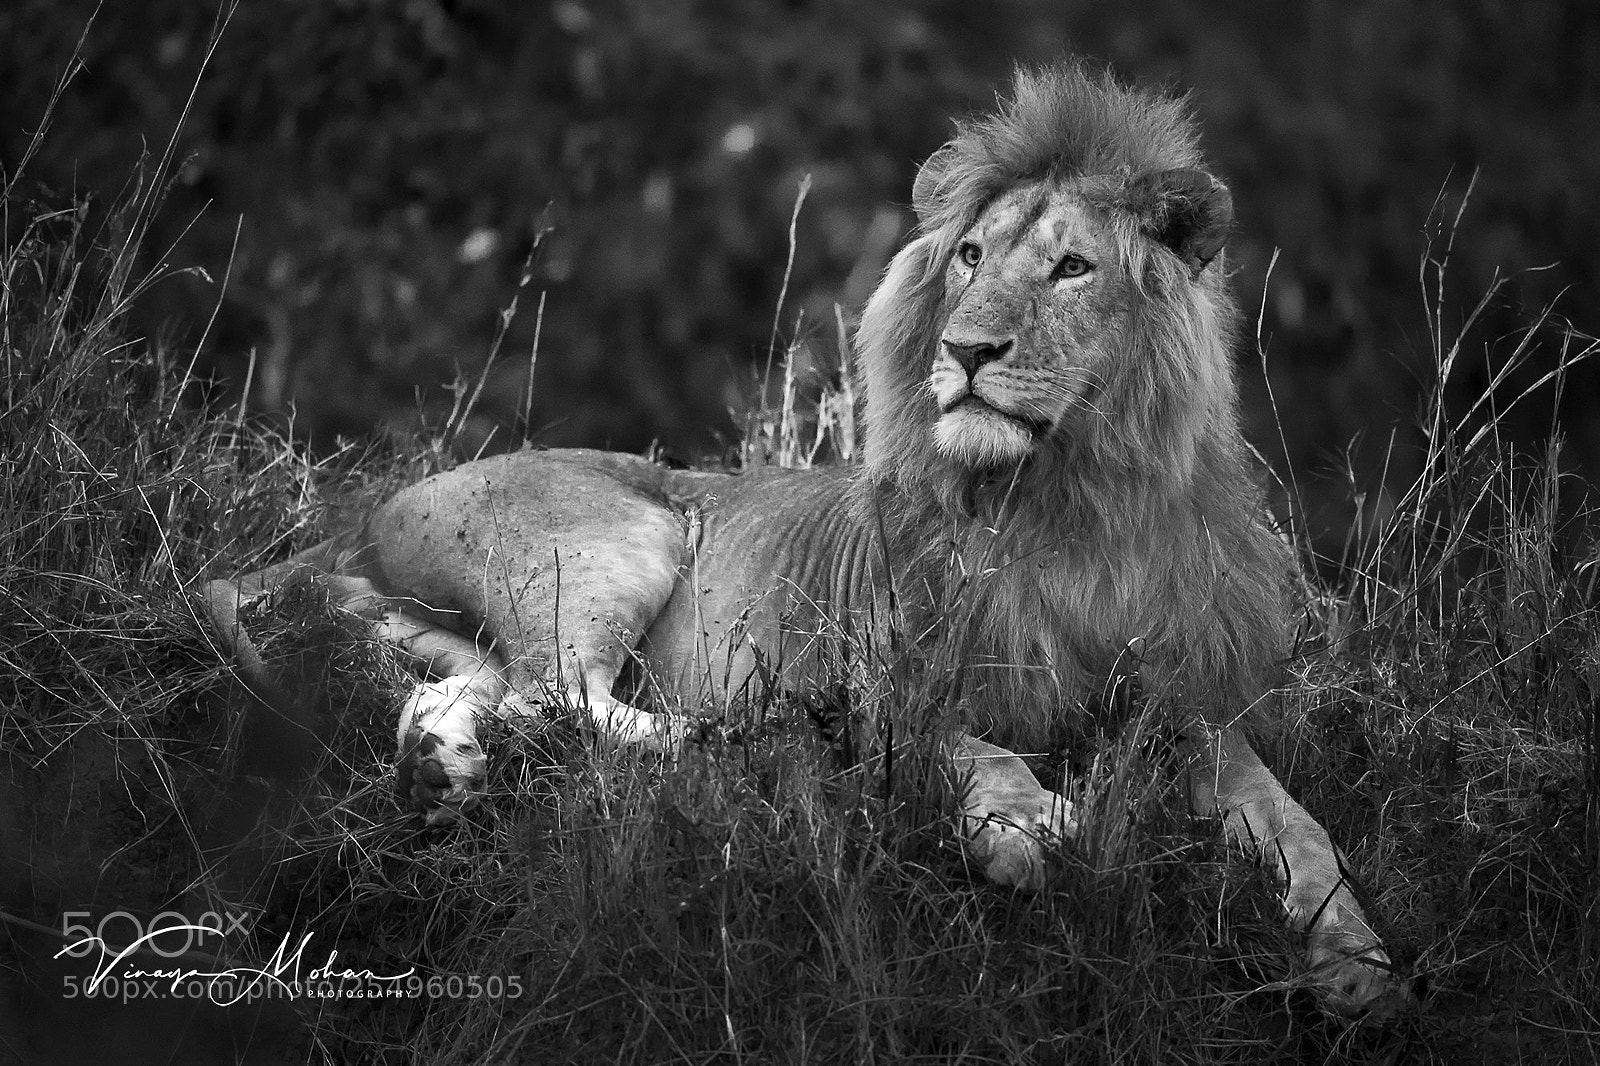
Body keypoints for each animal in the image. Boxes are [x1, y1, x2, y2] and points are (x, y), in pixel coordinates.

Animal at [205, 61, 1411, 1020]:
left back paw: (442, 763)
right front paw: (1032, 829)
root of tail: (364, 517)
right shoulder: (895, 684)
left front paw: (1358, 964)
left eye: (1073, 269)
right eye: (969, 257)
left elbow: (1301, 829)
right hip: (625, 532)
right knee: (574, 697)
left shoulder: (1189, 708)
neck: (1060, 503)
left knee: (494, 694)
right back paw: (738, 736)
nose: (966, 350)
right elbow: (978, 752)